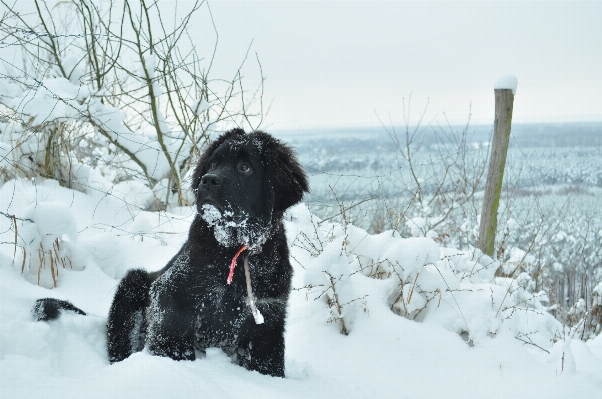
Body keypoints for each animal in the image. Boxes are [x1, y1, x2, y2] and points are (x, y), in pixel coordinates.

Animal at [33, 130, 308, 380]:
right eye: (214, 164)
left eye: (245, 167)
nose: (208, 180)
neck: (234, 250)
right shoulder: (171, 295)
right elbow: (172, 342)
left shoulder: (268, 319)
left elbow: (269, 364)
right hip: (132, 285)